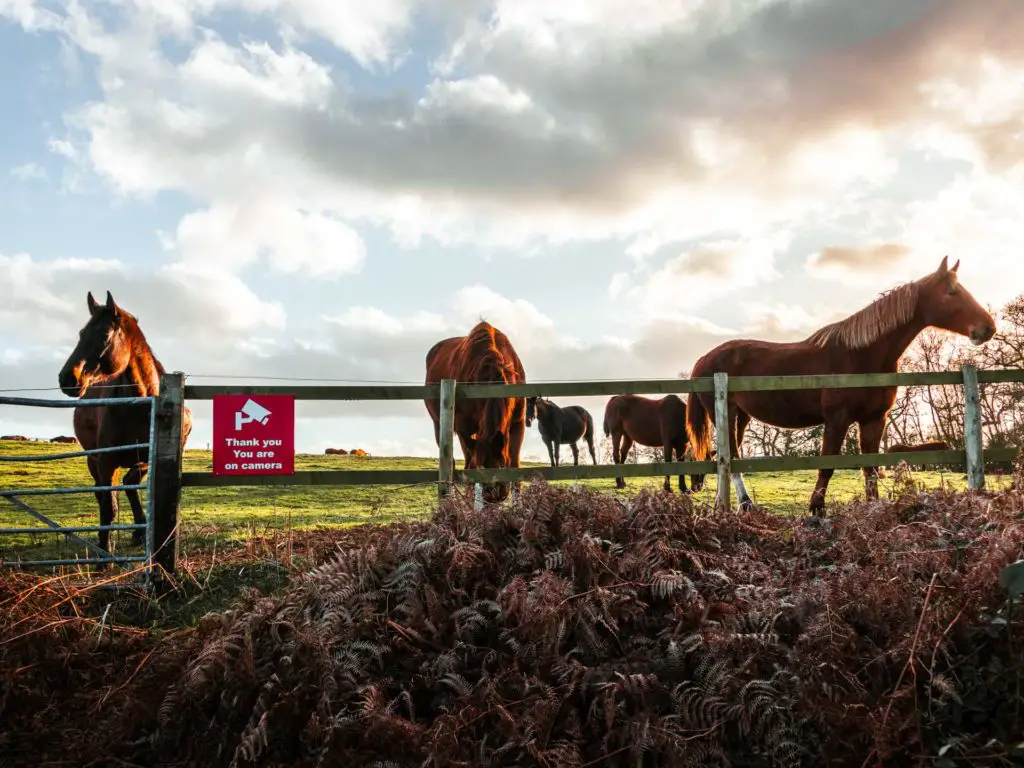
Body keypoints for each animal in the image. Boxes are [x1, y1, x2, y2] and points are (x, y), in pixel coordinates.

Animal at [57, 290, 193, 557]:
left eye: (104, 335)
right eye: (81, 333)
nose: (67, 378)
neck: (142, 405)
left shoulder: (149, 458)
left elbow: (129, 485)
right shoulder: (106, 461)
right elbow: (108, 507)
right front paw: (104, 553)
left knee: (128, 485)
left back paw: (139, 532)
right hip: (93, 460)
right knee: (102, 493)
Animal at [423, 319, 528, 505]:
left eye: (500, 465)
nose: (492, 495)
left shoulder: (518, 423)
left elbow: (515, 467)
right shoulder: (464, 429)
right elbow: (470, 466)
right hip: (440, 425)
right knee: (456, 464)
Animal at [684, 259, 995, 518]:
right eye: (952, 293)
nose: (987, 328)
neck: (861, 356)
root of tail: (704, 360)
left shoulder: (874, 420)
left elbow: (870, 468)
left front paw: (872, 507)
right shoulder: (837, 420)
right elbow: (827, 466)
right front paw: (816, 510)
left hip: (742, 416)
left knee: (731, 456)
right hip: (723, 414)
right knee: (730, 456)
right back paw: (744, 504)